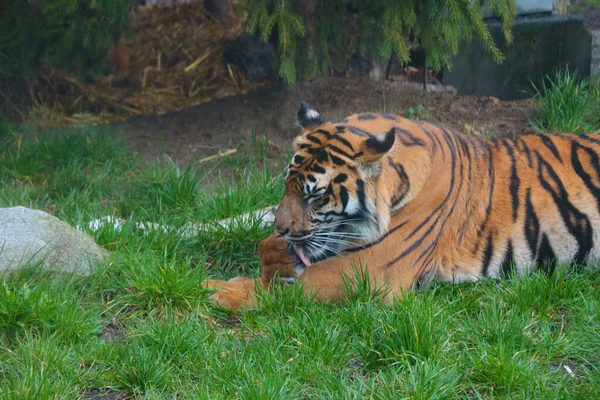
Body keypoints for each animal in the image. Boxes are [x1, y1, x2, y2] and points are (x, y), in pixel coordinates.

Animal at [204, 101, 600, 310]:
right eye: (287, 185)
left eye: (315, 194)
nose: (281, 229)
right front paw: (270, 257)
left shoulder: (372, 271)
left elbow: (290, 291)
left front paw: (216, 290)